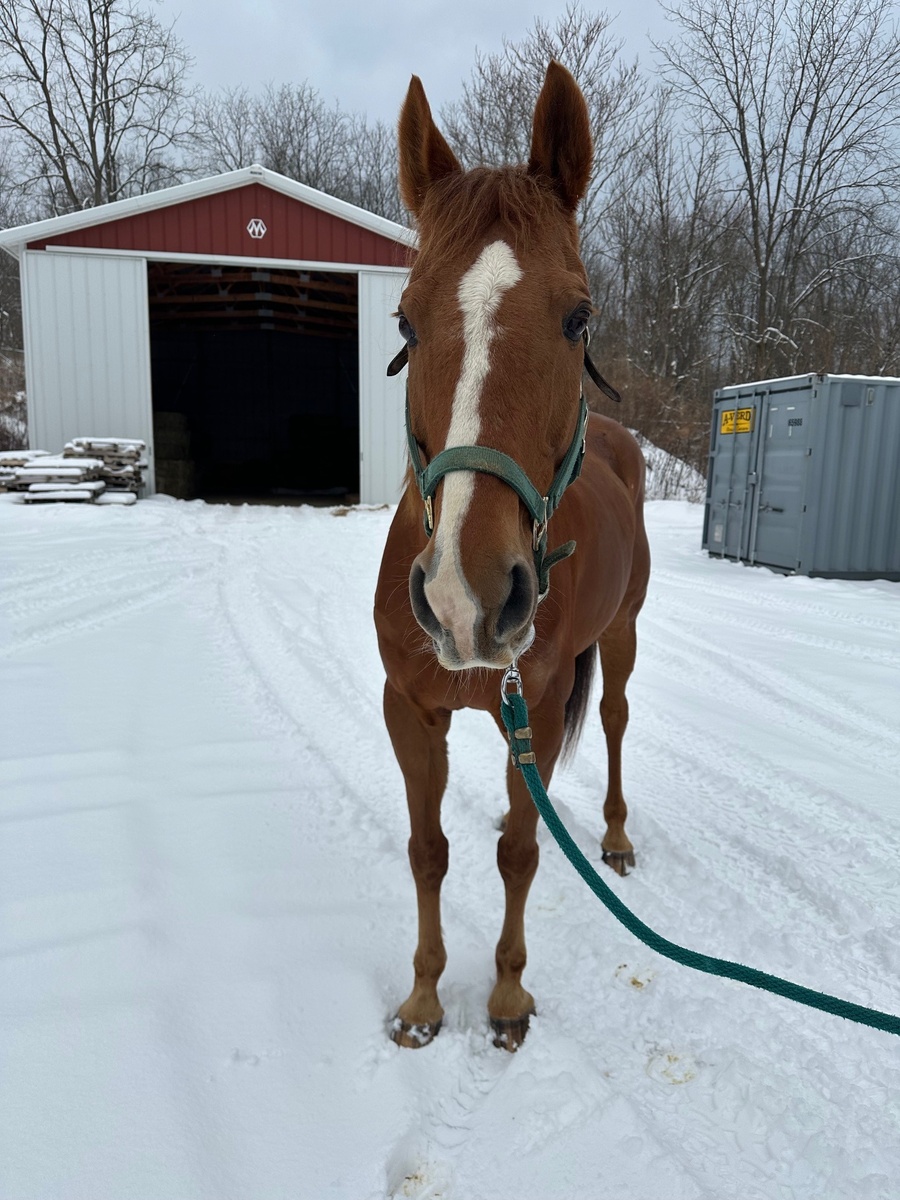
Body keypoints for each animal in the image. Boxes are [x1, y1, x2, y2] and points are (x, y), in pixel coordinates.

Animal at [374, 61, 650, 1051]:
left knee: (613, 719)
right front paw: (422, 999)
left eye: (577, 317)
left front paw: (505, 996)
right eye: (405, 322)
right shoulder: (411, 710)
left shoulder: (536, 691)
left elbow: (519, 855)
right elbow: (429, 852)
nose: (468, 597)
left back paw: (614, 837)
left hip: (620, 638)